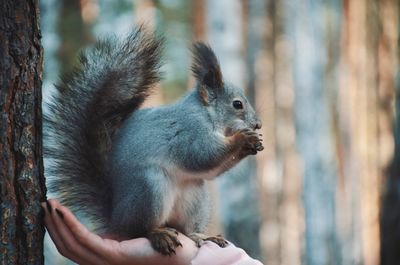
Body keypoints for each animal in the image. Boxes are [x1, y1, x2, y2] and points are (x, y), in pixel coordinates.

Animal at [45, 26, 264, 254]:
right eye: (237, 104)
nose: (258, 125)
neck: (206, 115)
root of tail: (116, 218)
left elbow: (210, 170)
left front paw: (253, 143)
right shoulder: (188, 132)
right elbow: (202, 156)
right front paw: (242, 139)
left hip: (195, 197)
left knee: (185, 229)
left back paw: (201, 235)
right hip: (149, 188)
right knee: (138, 230)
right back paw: (158, 234)